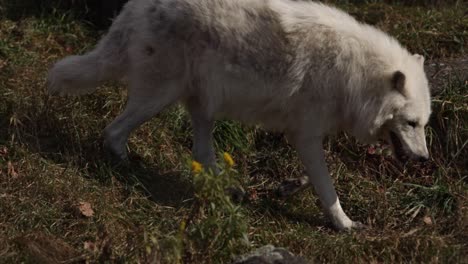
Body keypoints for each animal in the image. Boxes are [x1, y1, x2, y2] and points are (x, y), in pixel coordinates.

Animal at [47, 0, 432, 230]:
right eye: (410, 124)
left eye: (424, 125)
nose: (426, 160)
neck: (356, 75)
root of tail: (134, 7)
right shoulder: (306, 136)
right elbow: (327, 189)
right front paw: (344, 224)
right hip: (158, 97)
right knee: (113, 131)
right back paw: (125, 167)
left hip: (201, 107)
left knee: (202, 154)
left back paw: (231, 191)